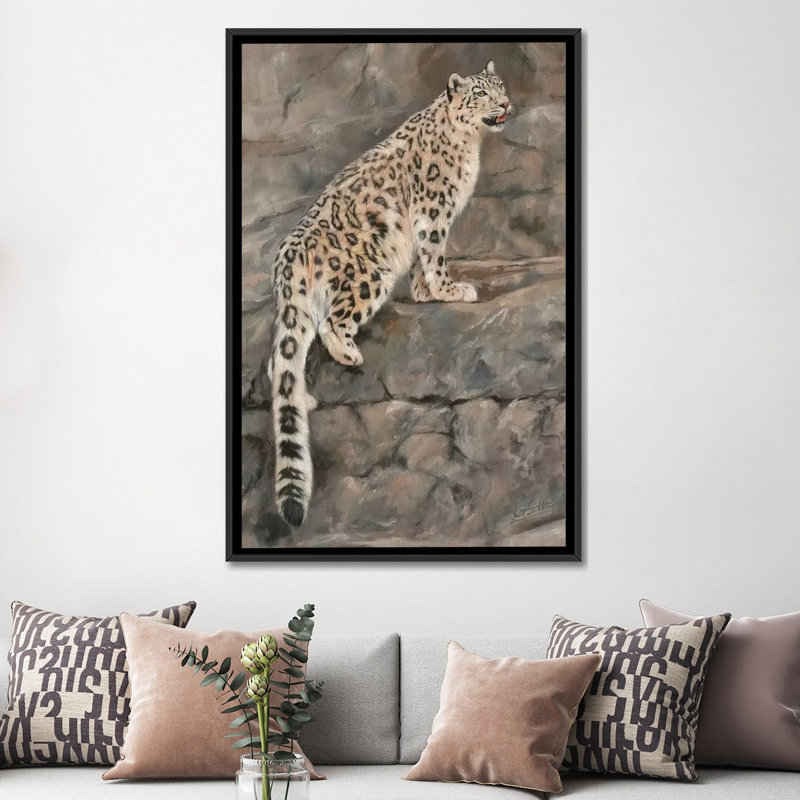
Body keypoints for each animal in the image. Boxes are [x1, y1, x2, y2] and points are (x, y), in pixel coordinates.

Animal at [269, 60, 512, 526]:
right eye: (481, 94)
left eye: (501, 86)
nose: (507, 104)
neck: (470, 145)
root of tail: (289, 255)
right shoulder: (433, 210)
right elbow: (434, 251)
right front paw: (450, 288)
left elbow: (422, 259)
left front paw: (425, 291)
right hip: (369, 271)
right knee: (332, 322)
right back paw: (349, 353)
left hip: (301, 309)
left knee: (280, 359)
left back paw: (302, 397)